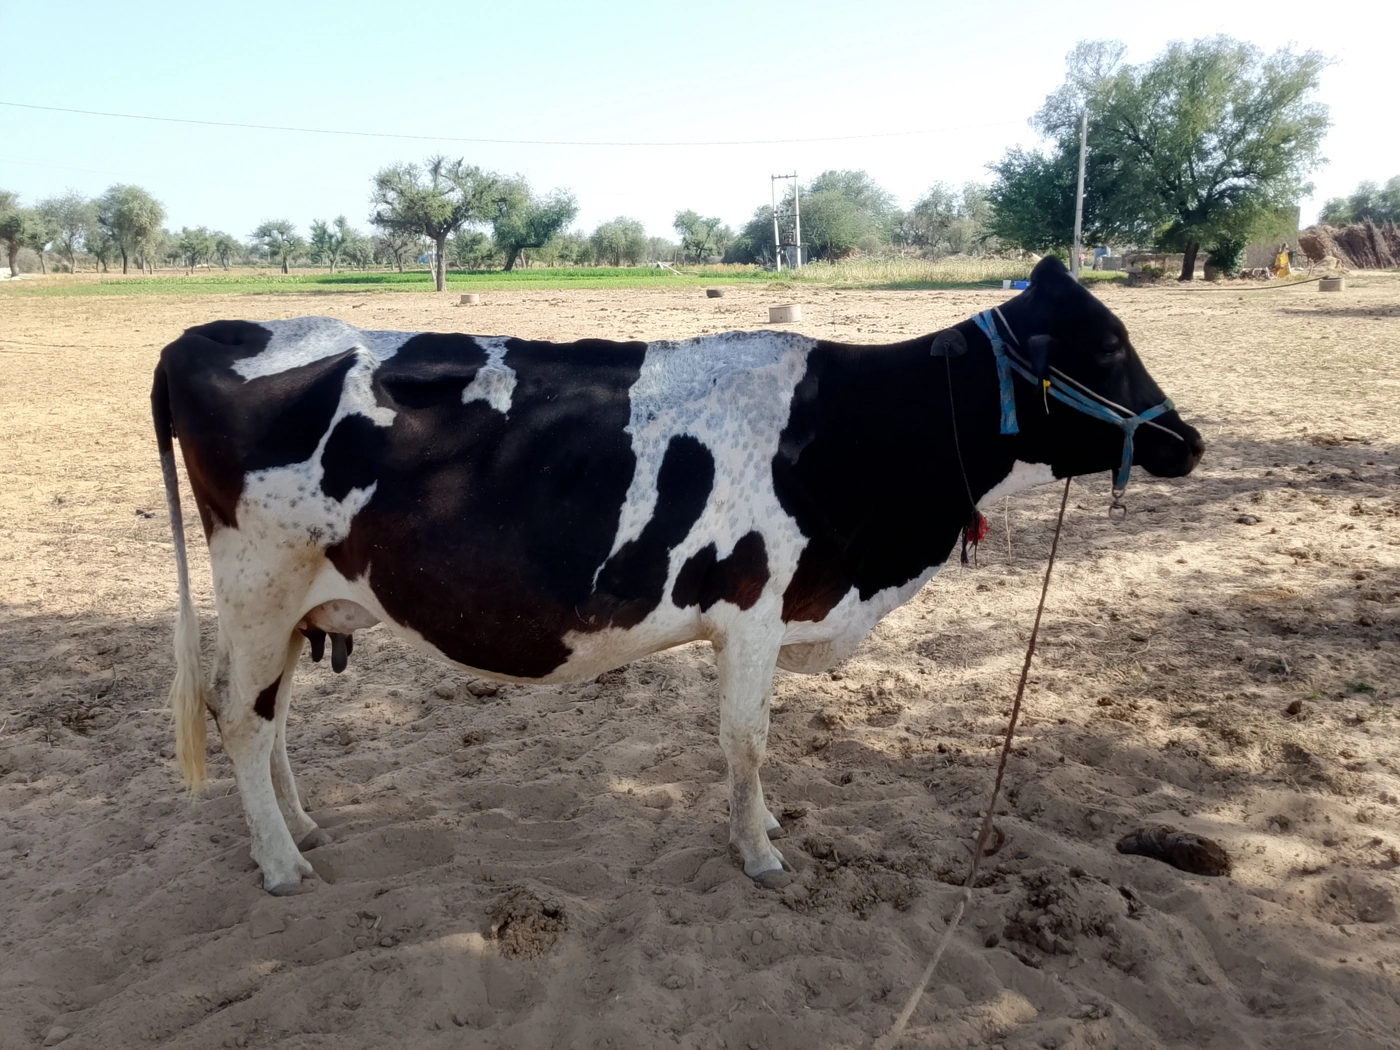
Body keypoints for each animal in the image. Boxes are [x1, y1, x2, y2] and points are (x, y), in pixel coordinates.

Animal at [151, 255, 1202, 895]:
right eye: (1108, 345)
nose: (1188, 442)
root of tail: (209, 332)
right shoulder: (754, 611)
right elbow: (747, 740)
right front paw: (760, 850)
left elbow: (750, 744)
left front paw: (764, 828)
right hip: (259, 586)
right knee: (240, 718)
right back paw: (281, 863)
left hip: (297, 604)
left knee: (271, 717)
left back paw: (302, 827)